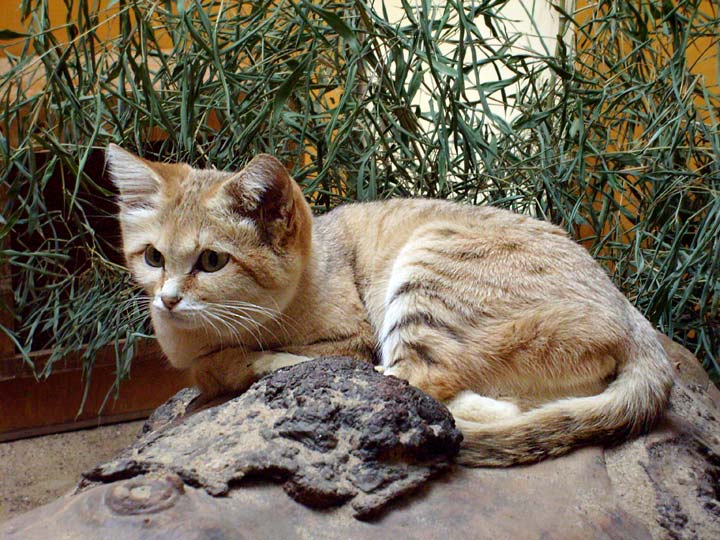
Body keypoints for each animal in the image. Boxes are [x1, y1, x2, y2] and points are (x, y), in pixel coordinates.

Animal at [108, 144, 676, 468]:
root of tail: (636, 321)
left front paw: (241, 362)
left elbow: (223, 367)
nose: (167, 299)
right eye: (153, 257)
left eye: (211, 260)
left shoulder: (353, 336)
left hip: (430, 270)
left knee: (411, 383)